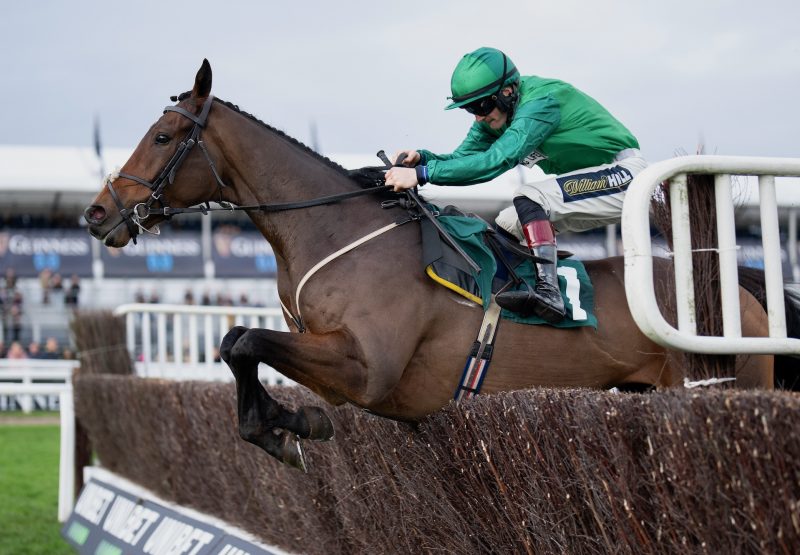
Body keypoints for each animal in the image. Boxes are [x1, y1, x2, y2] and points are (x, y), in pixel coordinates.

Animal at [84, 59, 784, 470]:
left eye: (163, 137)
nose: (96, 214)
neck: (341, 229)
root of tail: (736, 284)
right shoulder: (334, 360)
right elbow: (237, 344)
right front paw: (285, 423)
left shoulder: (367, 370)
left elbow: (244, 339)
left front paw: (288, 425)